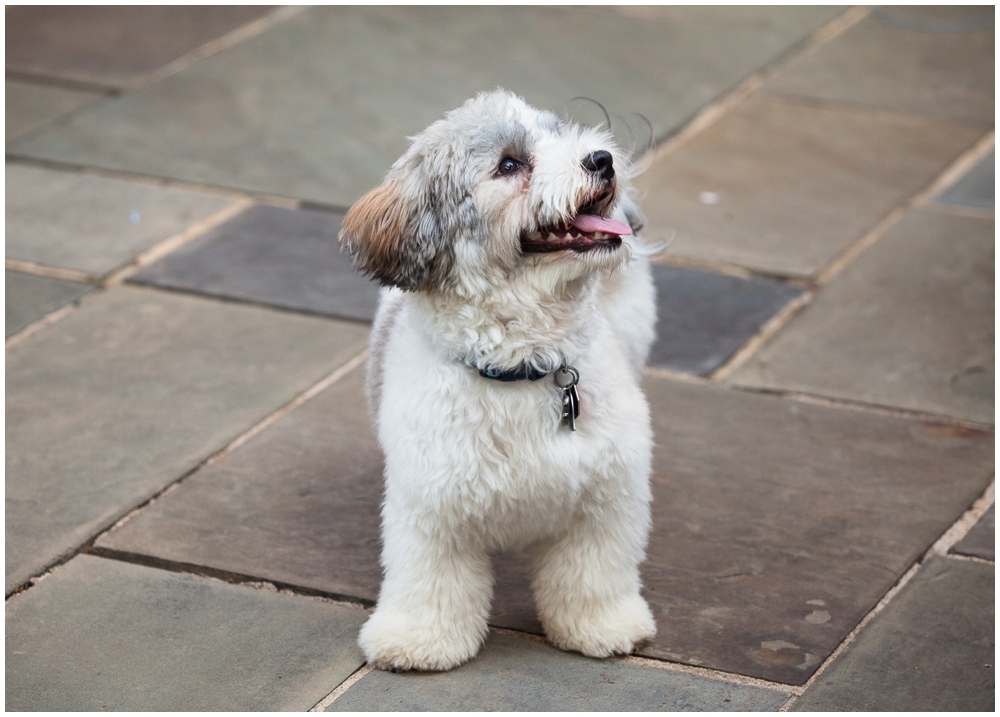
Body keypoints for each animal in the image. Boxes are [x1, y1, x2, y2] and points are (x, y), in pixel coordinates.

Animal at [340, 89, 660, 672]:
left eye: (561, 133)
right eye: (510, 165)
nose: (602, 158)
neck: (522, 365)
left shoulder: (606, 496)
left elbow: (595, 574)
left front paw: (603, 625)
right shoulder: (431, 506)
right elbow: (429, 581)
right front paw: (416, 639)